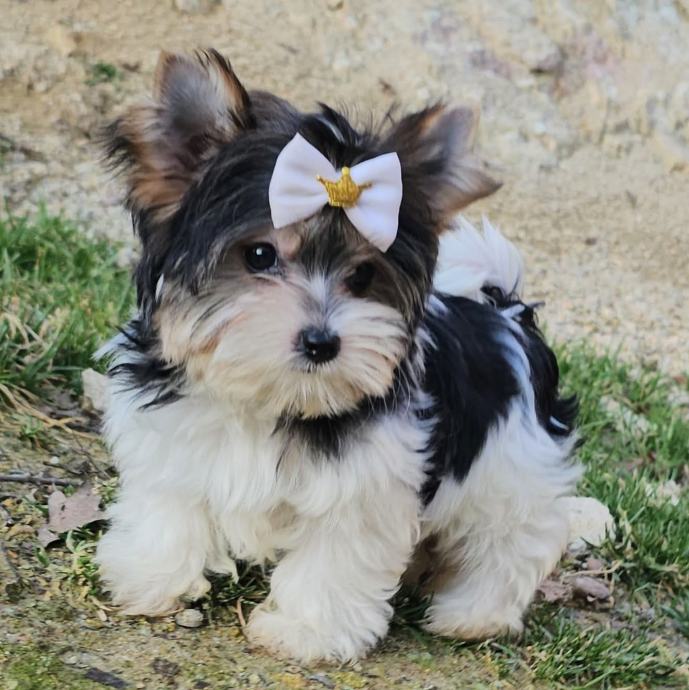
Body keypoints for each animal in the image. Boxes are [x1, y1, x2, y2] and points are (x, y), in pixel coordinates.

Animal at [95, 49, 580, 663]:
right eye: (259, 255)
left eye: (363, 275)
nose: (322, 342)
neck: (269, 399)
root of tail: (508, 316)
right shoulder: (170, 438)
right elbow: (170, 503)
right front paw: (150, 576)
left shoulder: (365, 484)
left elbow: (333, 557)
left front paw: (307, 631)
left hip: (511, 464)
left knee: (514, 536)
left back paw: (474, 614)